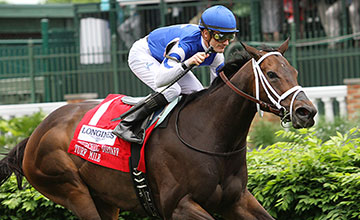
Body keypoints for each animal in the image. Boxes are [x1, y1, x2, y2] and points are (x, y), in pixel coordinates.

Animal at [0, 40, 316, 220]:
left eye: (294, 72)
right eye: (272, 74)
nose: (307, 112)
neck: (211, 135)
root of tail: (35, 133)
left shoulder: (236, 200)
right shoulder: (178, 206)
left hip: (105, 200)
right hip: (70, 188)